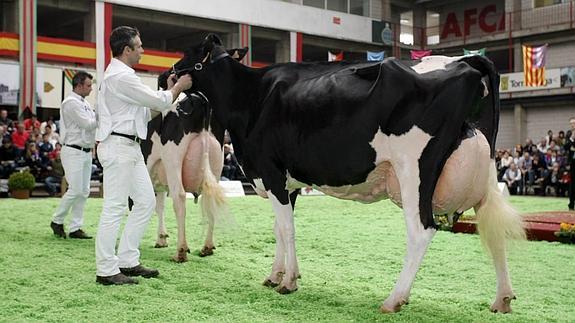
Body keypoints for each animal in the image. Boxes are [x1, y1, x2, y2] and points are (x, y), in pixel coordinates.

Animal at [161, 34, 528, 314]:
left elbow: (287, 230)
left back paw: (394, 299)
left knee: (422, 230)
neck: (251, 97)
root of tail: (468, 62)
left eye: (190, 52)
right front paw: (276, 275)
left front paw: (288, 282)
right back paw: (503, 299)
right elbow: (279, 228)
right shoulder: (288, 182)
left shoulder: (272, 172)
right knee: (493, 228)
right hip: (484, 172)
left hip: (414, 169)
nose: (166, 76)